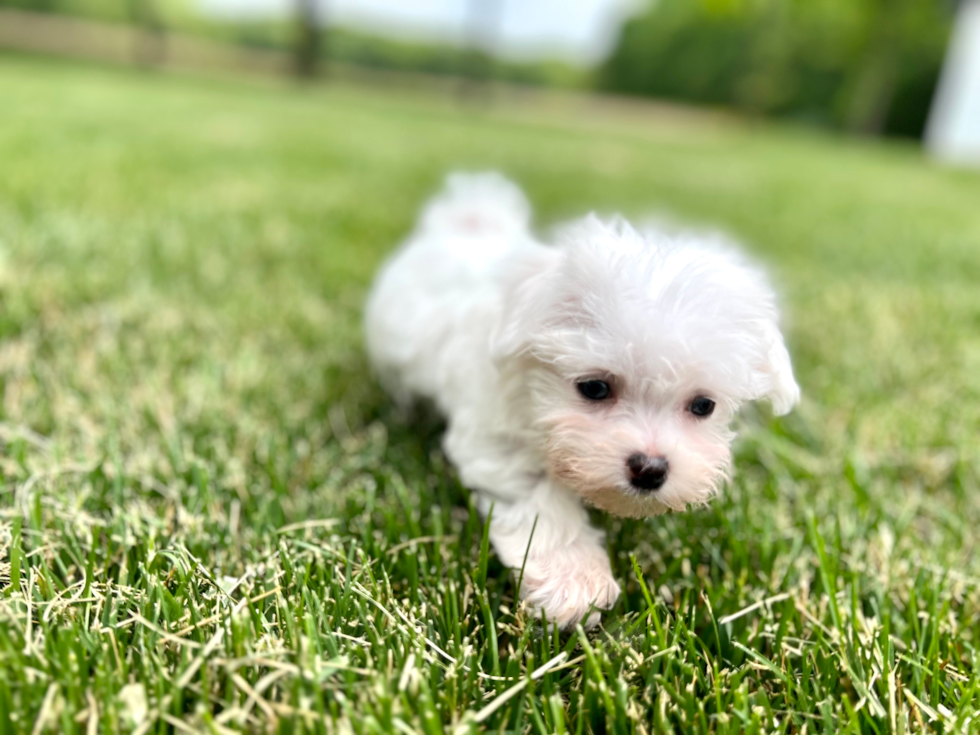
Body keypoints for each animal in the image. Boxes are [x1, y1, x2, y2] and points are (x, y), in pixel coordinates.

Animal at [364, 172, 800, 628]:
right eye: (594, 388)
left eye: (703, 405)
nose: (650, 470)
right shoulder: (498, 434)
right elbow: (542, 501)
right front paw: (573, 580)